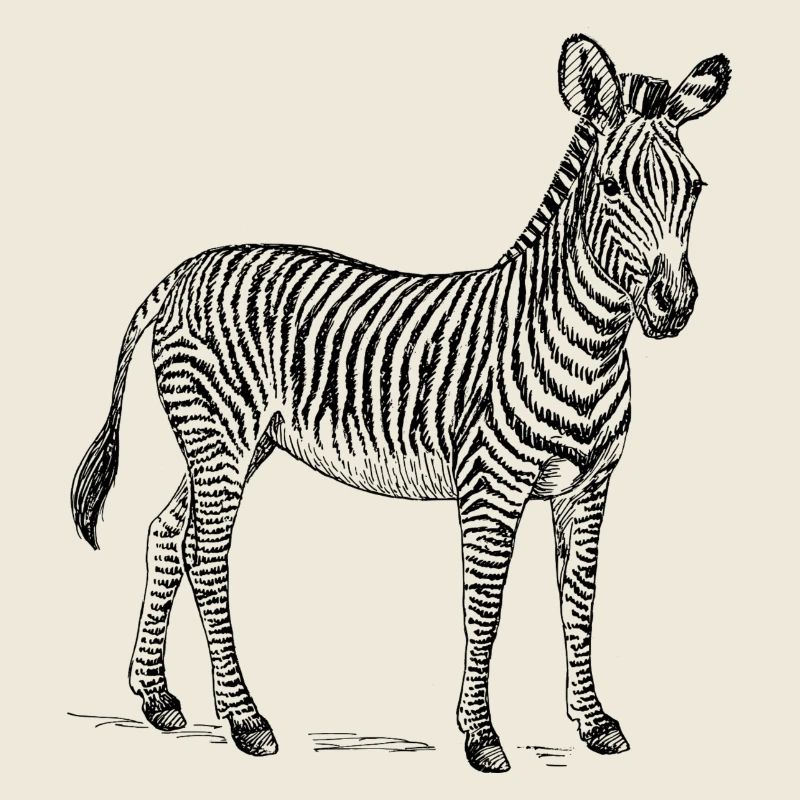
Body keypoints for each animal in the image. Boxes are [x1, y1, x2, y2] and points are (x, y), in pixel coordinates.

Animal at [71, 34, 730, 773]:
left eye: (695, 189)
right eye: (612, 188)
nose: (674, 306)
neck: (586, 344)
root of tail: (180, 273)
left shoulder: (589, 486)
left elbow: (579, 602)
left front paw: (594, 724)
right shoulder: (491, 484)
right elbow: (485, 604)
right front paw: (481, 736)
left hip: (235, 442)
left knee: (165, 533)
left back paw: (157, 699)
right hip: (221, 432)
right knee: (206, 553)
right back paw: (246, 721)